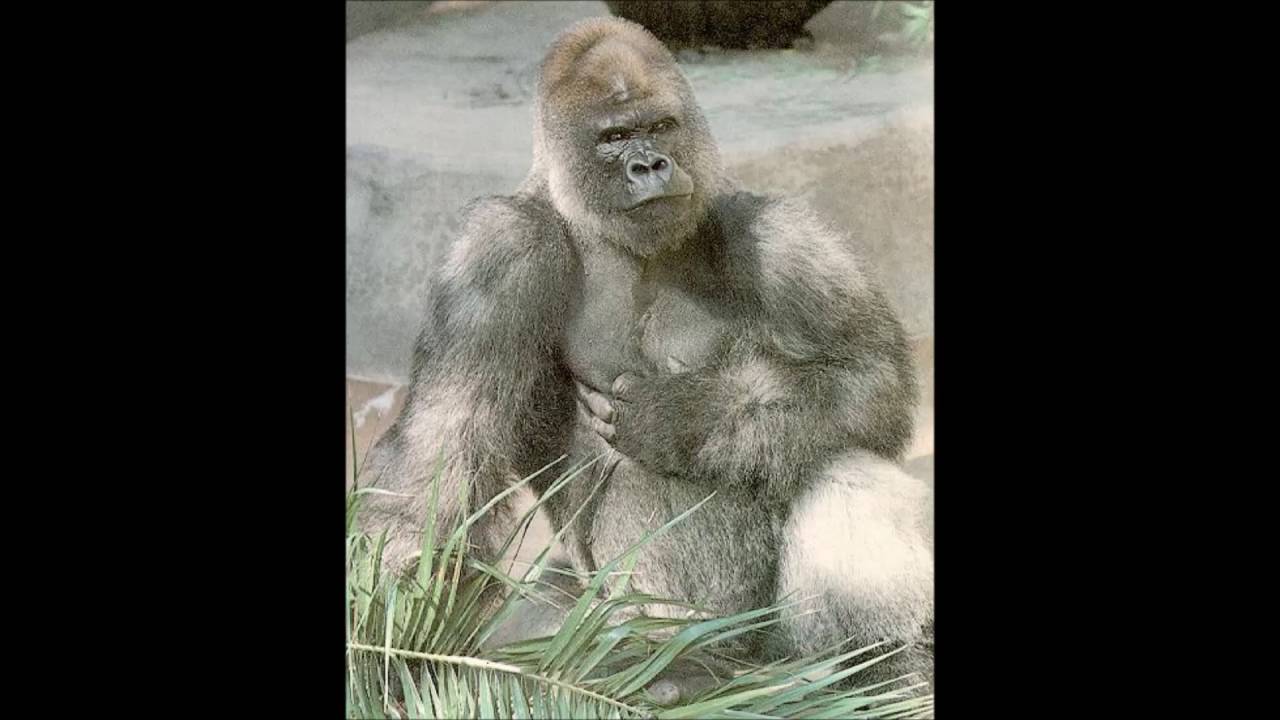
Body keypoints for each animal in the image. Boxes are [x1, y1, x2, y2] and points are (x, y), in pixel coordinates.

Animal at [356, 16, 933, 701]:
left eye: (660, 127)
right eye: (615, 137)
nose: (651, 164)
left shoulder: (773, 232)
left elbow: (869, 376)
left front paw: (683, 417)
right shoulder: (497, 250)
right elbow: (442, 448)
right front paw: (388, 633)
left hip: (778, 656)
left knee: (834, 461)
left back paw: (883, 678)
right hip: (637, 633)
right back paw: (678, 673)